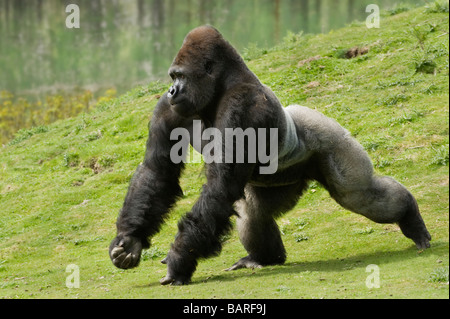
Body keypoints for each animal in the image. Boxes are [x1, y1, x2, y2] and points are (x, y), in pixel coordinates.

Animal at [108, 25, 428, 284]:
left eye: (181, 76)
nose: (173, 90)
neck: (218, 91)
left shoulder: (242, 107)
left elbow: (219, 189)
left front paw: (179, 261)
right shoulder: (168, 108)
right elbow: (157, 170)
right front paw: (130, 239)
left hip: (329, 137)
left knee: (360, 194)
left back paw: (410, 215)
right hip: (283, 179)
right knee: (254, 209)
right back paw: (264, 258)